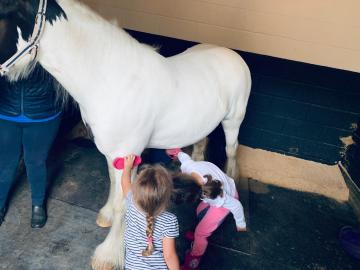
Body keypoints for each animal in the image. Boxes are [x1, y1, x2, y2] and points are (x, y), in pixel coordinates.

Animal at [0, 0, 250, 268]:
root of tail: (234, 55)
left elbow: (124, 203)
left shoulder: (126, 152)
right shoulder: (113, 153)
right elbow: (113, 185)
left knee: (231, 154)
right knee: (201, 144)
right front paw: (106, 216)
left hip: (233, 122)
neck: (109, 80)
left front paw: (107, 256)